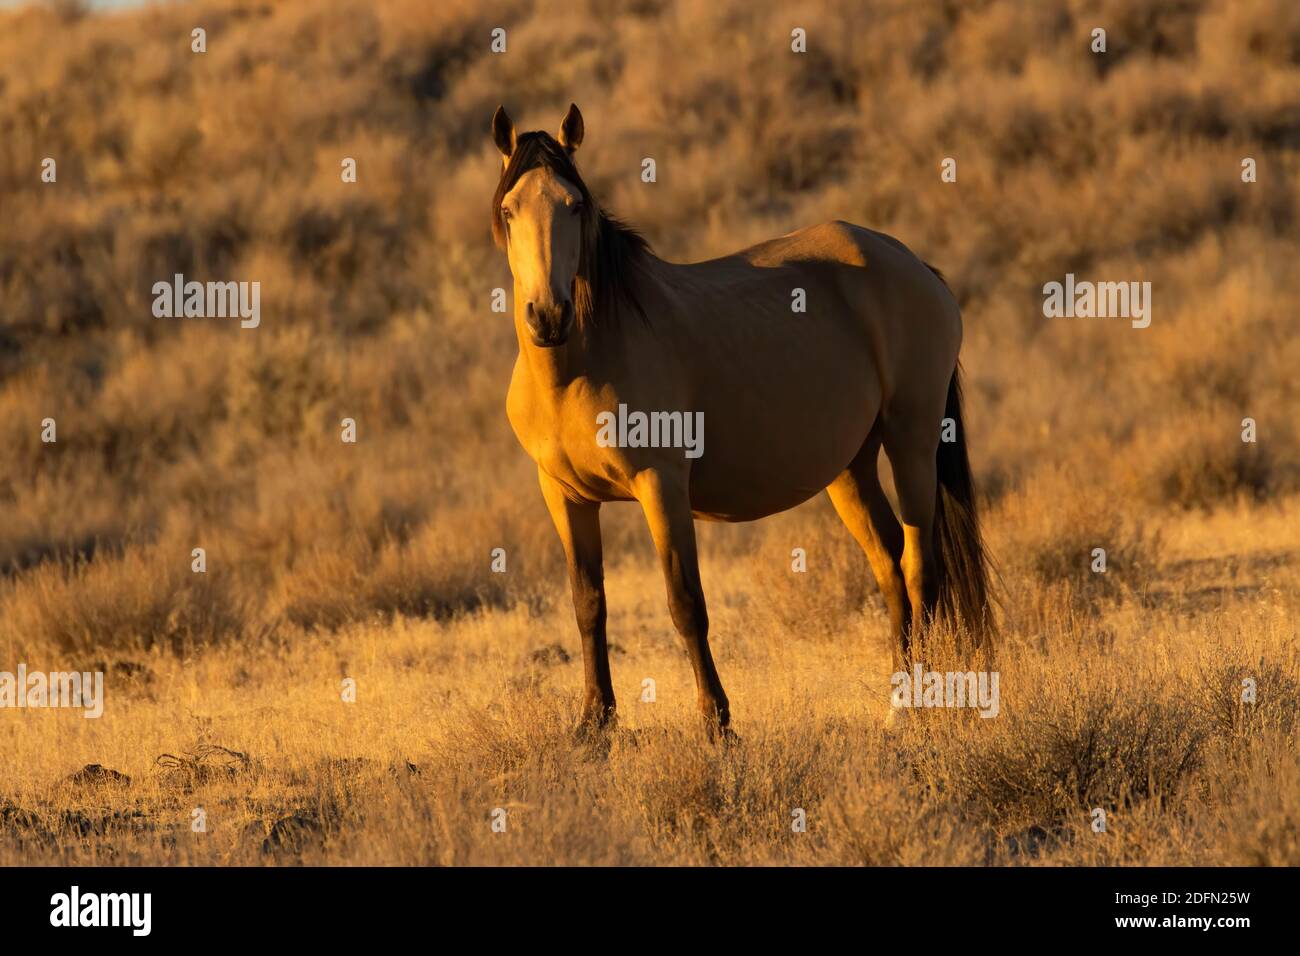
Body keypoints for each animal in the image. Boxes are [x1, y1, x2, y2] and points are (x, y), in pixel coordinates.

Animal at [491, 102, 987, 733]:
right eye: (510, 210)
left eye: (574, 205)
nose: (548, 317)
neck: (582, 361)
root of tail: (915, 264)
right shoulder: (565, 496)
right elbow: (588, 605)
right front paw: (593, 723)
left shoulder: (661, 487)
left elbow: (685, 603)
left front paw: (716, 724)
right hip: (851, 466)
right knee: (890, 565)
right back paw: (897, 703)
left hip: (912, 442)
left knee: (922, 567)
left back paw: (919, 705)